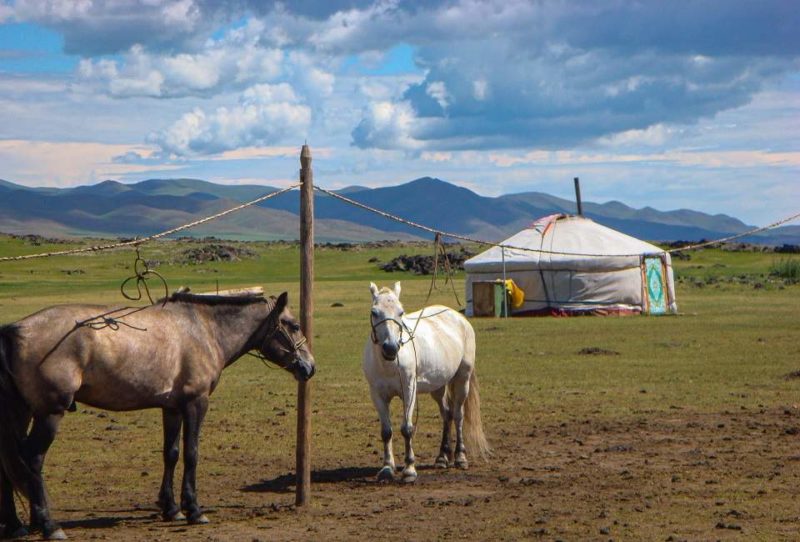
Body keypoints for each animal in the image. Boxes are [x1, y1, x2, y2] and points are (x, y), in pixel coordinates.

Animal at [0, 288, 316, 540]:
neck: (204, 330)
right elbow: (191, 454)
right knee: (32, 459)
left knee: (9, 462)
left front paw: (171, 508)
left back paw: (17, 525)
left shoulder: (172, 407)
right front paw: (194, 509)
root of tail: (15, 329)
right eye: (294, 325)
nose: (310, 367)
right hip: (49, 414)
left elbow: (171, 454)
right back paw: (49, 525)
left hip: (22, 412)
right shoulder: (196, 403)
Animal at [360, 284, 488, 484]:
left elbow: (407, 429)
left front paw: (409, 470)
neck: (389, 363)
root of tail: (459, 317)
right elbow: (386, 431)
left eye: (401, 312)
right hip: (438, 387)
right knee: (447, 414)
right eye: (374, 312)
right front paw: (387, 468)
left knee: (458, 415)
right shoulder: (377, 395)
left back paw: (460, 457)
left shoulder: (409, 391)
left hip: (462, 379)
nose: (390, 348)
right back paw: (442, 457)